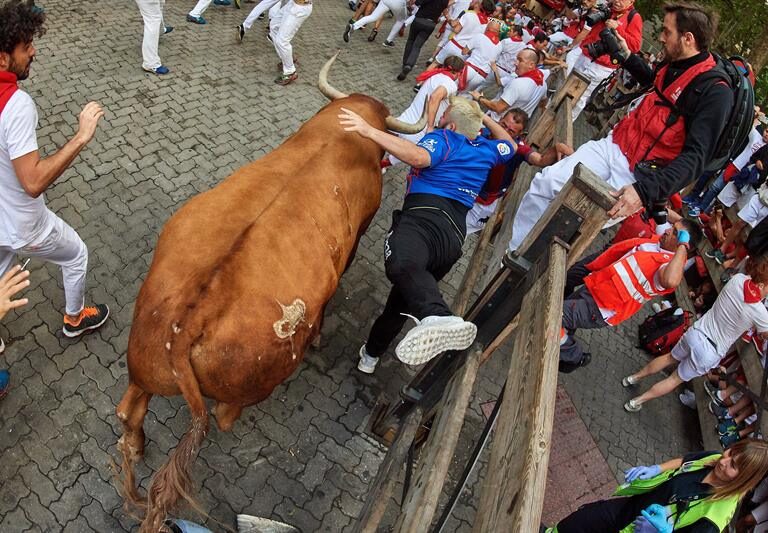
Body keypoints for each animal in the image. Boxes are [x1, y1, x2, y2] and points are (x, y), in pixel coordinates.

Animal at [118, 52, 426, 528]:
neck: (343, 134)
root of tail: (194, 313)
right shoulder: (359, 233)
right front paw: (318, 334)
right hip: (253, 380)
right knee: (224, 416)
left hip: (142, 362)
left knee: (129, 411)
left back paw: (136, 445)